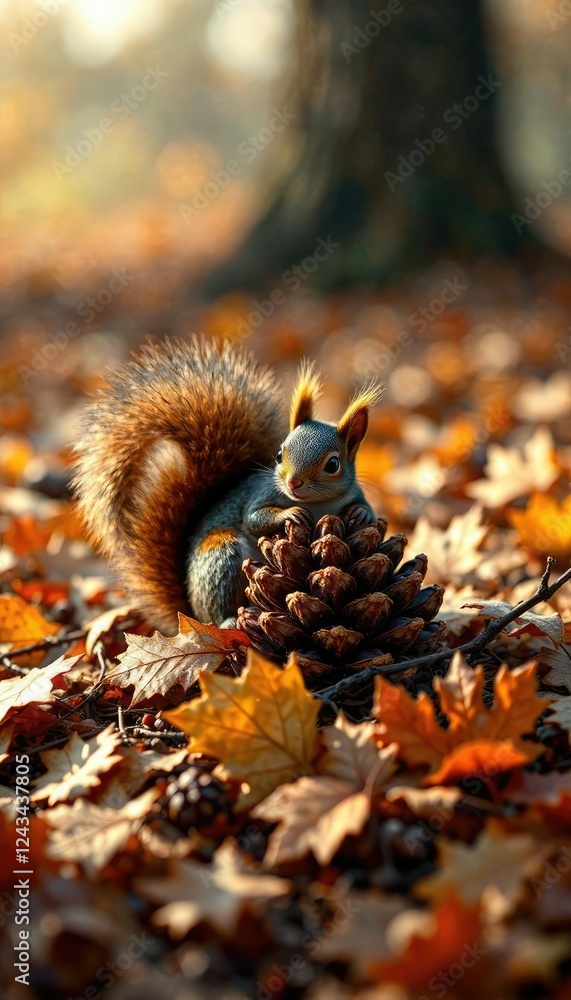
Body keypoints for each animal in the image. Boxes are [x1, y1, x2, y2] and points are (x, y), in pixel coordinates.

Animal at [73, 336, 382, 633]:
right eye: (279, 454)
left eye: (333, 464)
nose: (293, 483)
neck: (317, 505)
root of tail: (190, 612)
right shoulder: (260, 494)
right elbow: (253, 519)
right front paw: (289, 514)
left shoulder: (352, 492)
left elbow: (365, 506)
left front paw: (361, 513)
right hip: (221, 556)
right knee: (219, 607)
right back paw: (229, 622)